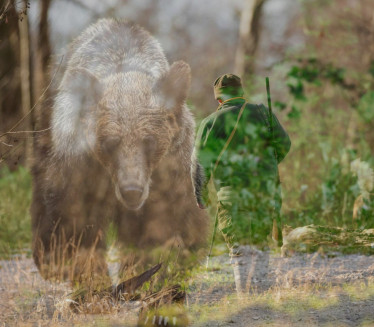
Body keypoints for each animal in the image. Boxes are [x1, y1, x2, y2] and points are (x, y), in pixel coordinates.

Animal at [30, 18, 209, 288]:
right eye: (110, 142)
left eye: (149, 141)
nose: (131, 190)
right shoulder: (79, 167)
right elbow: (73, 222)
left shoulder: (171, 173)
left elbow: (166, 226)